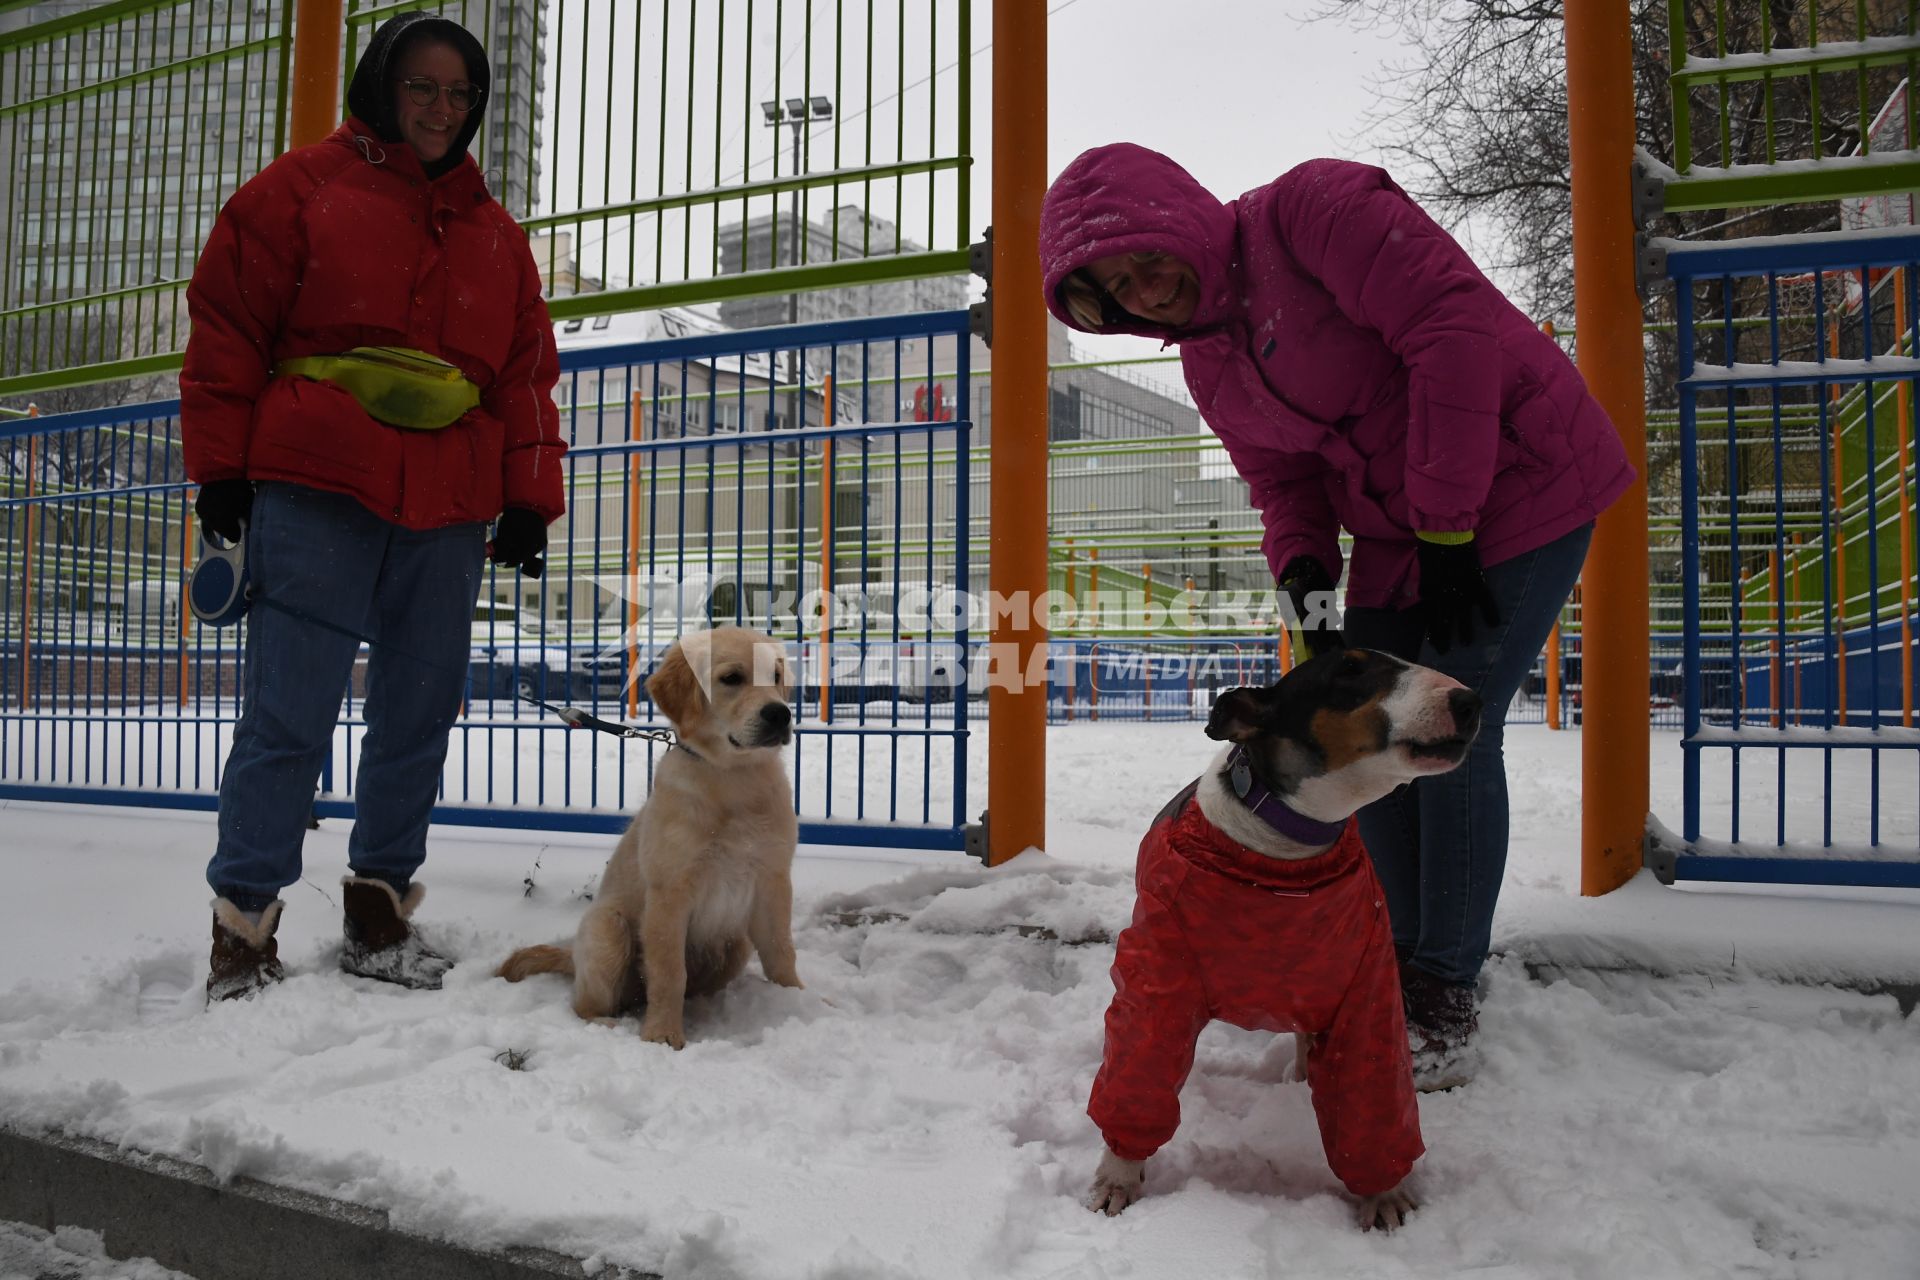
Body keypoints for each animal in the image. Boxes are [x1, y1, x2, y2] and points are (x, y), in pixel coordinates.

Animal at [499, 625, 798, 1043]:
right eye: (731, 678)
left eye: (775, 676)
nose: (780, 714)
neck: (732, 780)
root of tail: (571, 954)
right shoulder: (669, 894)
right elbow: (670, 972)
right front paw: (663, 1035)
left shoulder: (773, 880)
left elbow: (781, 952)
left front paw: (802, 1003)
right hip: (608, 929)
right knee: (585, 1005)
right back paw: (609, 1024)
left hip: (735, 943)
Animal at [1082, 652, 1482, 1228]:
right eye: (1352, 671)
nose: (1471, 702)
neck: (1282, 860)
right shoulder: (1158, 979)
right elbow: (1139, 1069)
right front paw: (1116, 1179)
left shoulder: (1366, 989)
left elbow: (1373, 1090)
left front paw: (1386, 1195)